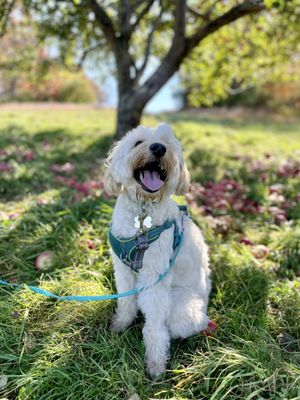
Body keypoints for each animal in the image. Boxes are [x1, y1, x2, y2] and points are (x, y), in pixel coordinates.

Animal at [104, 124, 214, 378]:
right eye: (138, 142)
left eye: (167, 143)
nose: (158, 148)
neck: (143, 211)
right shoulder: (123, 270)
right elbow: (126, 301)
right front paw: (120, 324)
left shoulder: (153, 278)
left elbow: (154, 326)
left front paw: (155, 363)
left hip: (183, 310)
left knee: (180, 324)